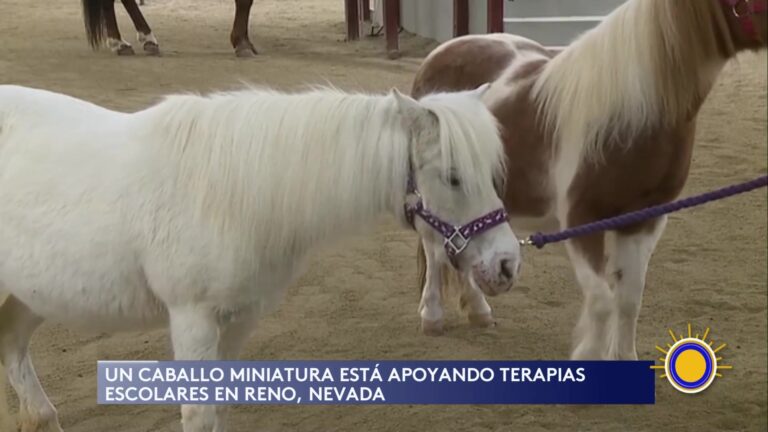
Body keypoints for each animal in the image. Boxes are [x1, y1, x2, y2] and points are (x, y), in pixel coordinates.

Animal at [0, 82, 521, 431]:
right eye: (453, 176)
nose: (507, 265)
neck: (230, 194)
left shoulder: (239, 317)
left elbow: (222, 405)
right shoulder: (191, 319)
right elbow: (199, 413)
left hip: (29, 295)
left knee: (13, 345)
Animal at [411, 0, 767, 359]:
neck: (629, 113)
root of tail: (439, 53)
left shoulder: (645, 220)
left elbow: (629, 299)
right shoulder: (582, 220)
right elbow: (601, 301)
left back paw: (479, 309)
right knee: (433, 247)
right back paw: (432, 316)